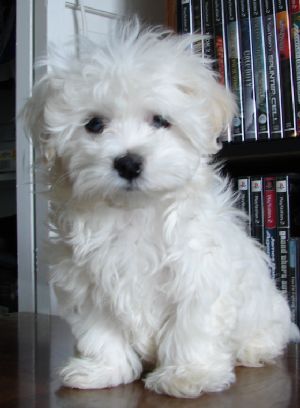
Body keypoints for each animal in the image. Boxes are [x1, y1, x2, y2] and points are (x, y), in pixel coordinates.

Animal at [22, 19, 298, 398]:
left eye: (160, 121)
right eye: (94, 124)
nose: (128, 162)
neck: (133, 211)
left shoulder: (198, 272)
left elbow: (192, 327)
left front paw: (188, 375)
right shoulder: (87, 282)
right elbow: (100, 332)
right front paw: (102, 370)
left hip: (269, 312)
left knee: (270, 334)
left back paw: (253, 349)